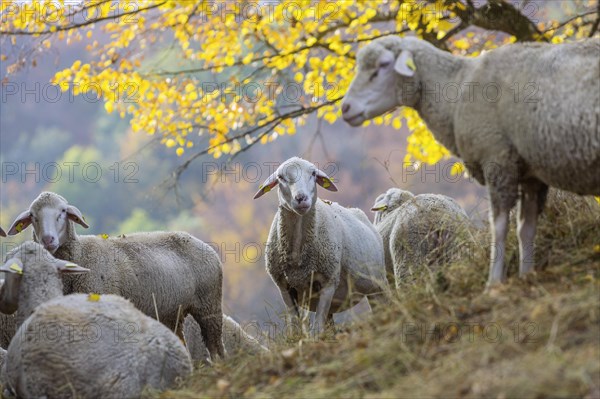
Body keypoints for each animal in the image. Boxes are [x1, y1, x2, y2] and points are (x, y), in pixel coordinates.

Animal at [5, 191, 226, 360]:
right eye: (33, 215)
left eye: (62, 212)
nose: (48, 239)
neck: (80, 255)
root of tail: (200, 242)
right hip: (172, 312)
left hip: (210, 306)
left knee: (216, 346)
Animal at [253, 158, 390, 336]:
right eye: (281, 177)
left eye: (313, 173)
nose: (301, 198)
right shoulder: (285, 287)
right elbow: (295, 326)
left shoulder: (328, 282)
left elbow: (317, 328)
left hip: (378, 284)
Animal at [342, 36, 600, 288]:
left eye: (383, 65)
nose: (345, 107)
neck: (459, 86)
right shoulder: (530, 175)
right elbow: (525, 228)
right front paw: (527, 275)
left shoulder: (497, 160)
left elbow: (500, 226)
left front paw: (493, 283)